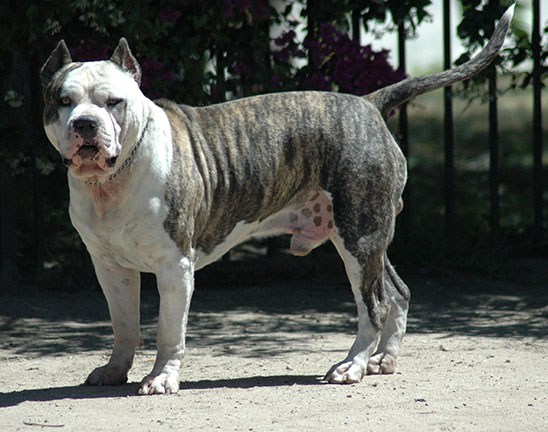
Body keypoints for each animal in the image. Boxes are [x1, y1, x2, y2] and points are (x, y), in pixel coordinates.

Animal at [40, 6, 513, 394]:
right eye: (63, 101)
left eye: (113, 102)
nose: (85, 124)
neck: (113, 181)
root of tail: (369, 104)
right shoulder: (110, 267)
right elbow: (123, 325)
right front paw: (114, 371)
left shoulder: (174, 266)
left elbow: (169, 332)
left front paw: (161, 378)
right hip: (366, 237)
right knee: (397, 292)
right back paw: (383, 359)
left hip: (359, 237)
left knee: (374, 305)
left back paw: (352, 366)